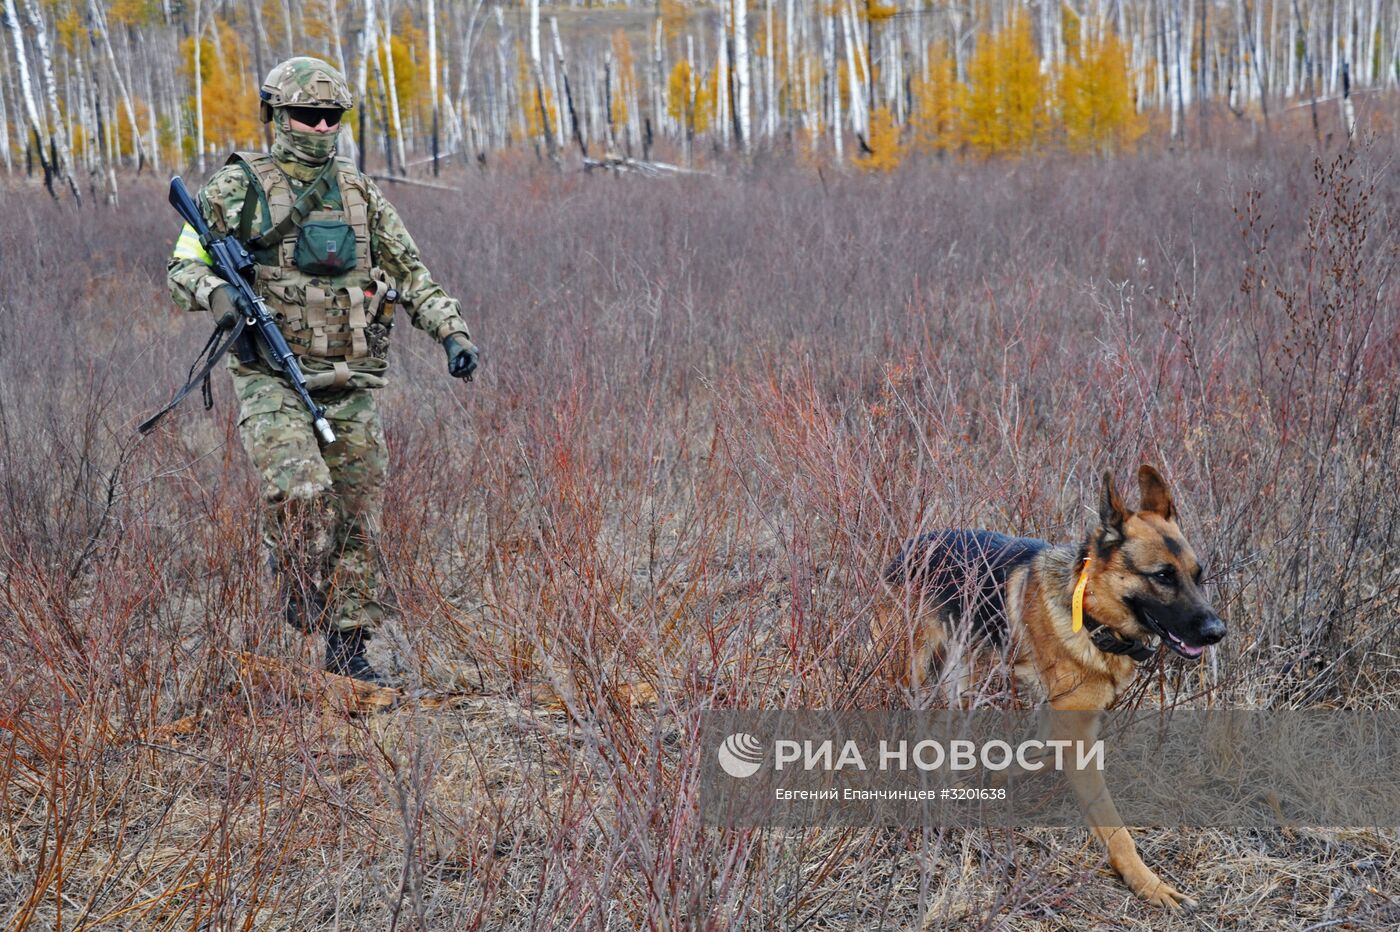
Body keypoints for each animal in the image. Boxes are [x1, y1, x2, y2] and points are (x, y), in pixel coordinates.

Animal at [873, 464, 1226, 906]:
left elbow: (1035, 754)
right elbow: (1114, 827)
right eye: (1163, 576)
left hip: (961, 675)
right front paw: (1147, 883)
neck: (1091, 614)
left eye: (1198, 575)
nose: (1218, 631)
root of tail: (911, 544)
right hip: (913, 668)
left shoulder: (1064, 721)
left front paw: (994, 775)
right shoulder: (1073, 729)